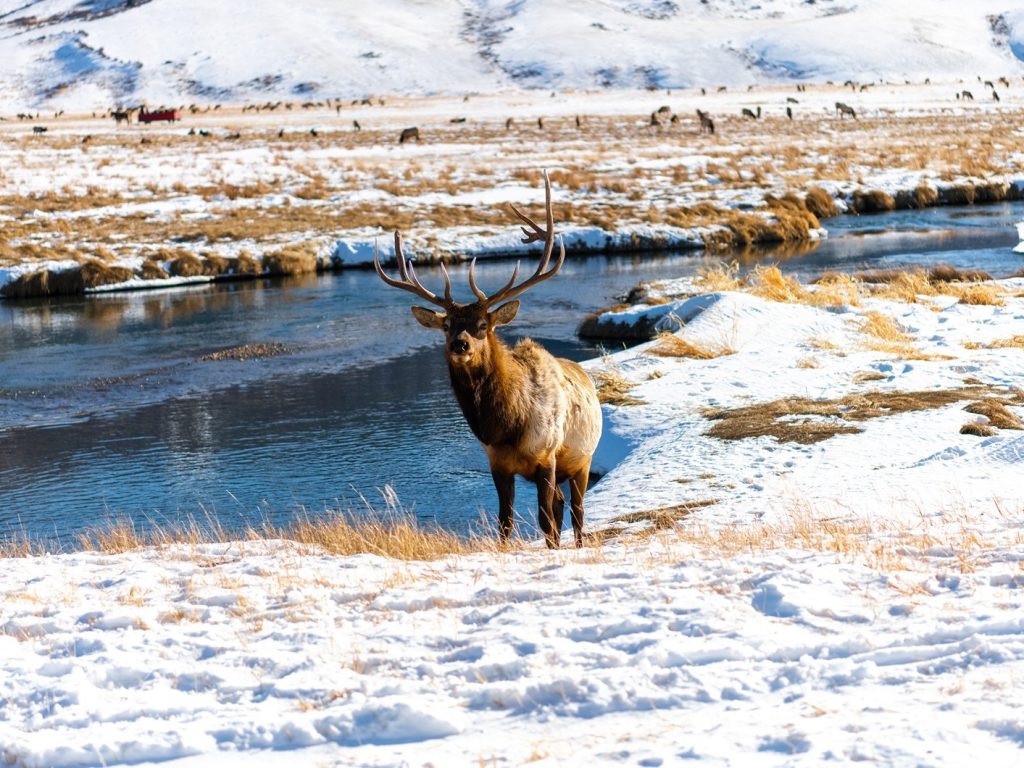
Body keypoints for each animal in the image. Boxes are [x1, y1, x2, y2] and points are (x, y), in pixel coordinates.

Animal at [374, 172, 598, 548]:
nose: (460, 344)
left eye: (482, 325)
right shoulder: (497, 464)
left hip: (583, 459)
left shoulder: (547, 456)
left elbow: (546, 522)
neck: (506, 425)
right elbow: (504, 522)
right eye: (446, 325)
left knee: (577, 514)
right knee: (561, 508)